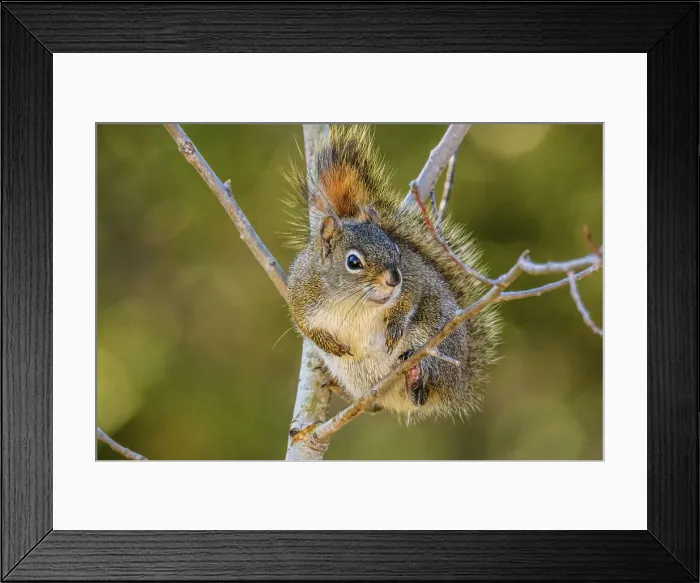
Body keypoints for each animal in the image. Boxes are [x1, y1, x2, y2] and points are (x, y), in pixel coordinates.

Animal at [284, 125, 500, 421]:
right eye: (353, 262)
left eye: (396, 248)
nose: (394, 279)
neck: (351, 301)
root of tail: (462, 382)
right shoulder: (301, 294)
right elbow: (304, 325)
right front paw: (329, 344)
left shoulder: (414, 278)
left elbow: (411, 296)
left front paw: (395, 326)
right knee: (374, 407)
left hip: (439, 348)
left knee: (424, 391)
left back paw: (415, 377)